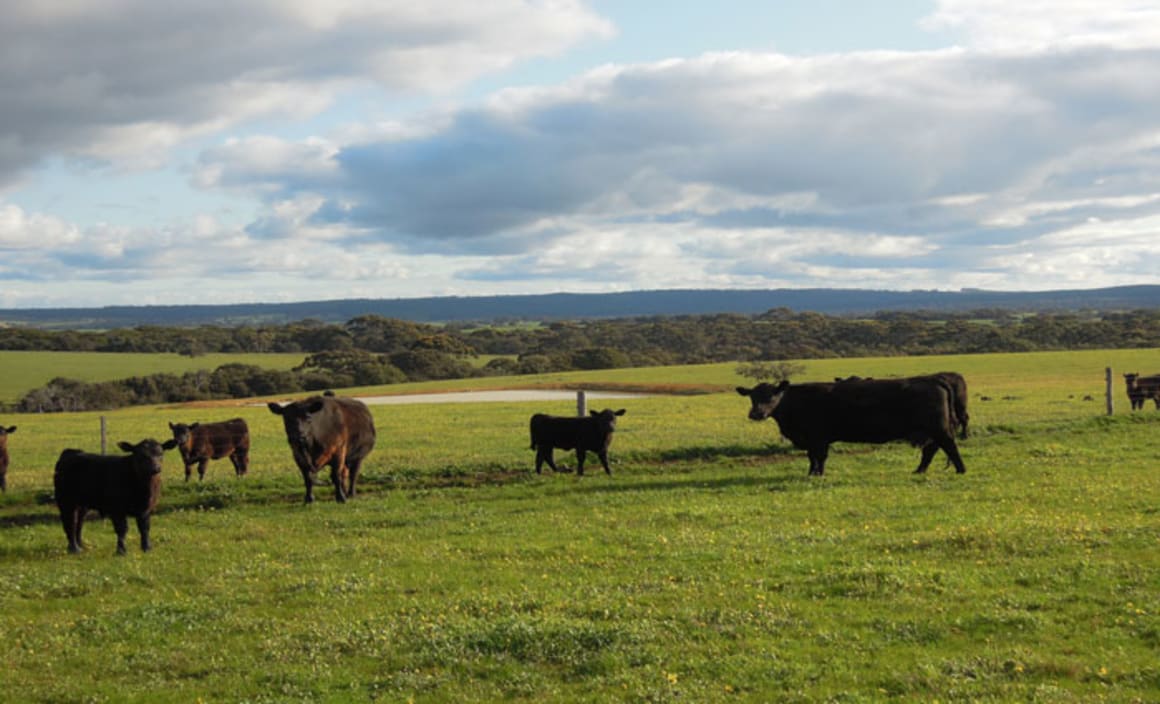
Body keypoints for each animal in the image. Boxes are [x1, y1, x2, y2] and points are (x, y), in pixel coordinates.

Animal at [737, 380, 965, 480]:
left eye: (771, 396)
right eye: (752, 397)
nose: (756, 413)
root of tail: (934, 381)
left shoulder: (818, 438)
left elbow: (819, 457)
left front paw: (817, 474)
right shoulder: (812, 439)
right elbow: (813, 457)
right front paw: (813, 473)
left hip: (939, 429)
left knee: (949, 446)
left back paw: (961, 470)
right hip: (932, 431)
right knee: (932, 449)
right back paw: (919, 470)